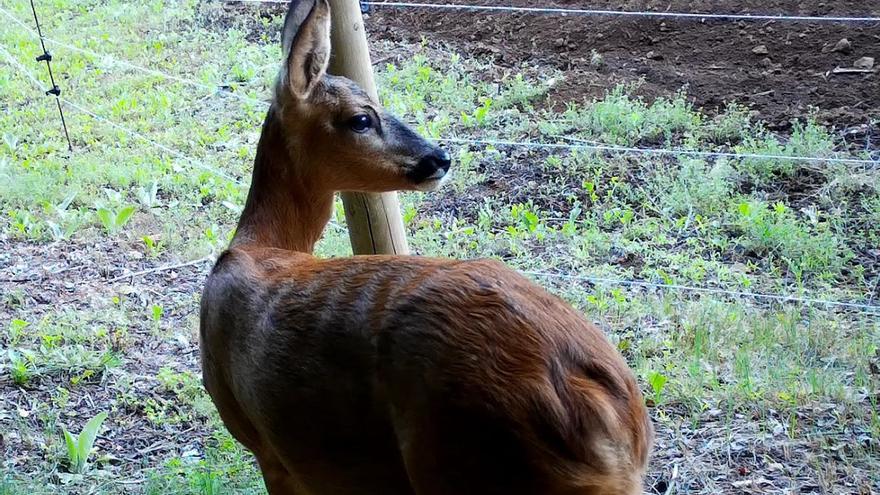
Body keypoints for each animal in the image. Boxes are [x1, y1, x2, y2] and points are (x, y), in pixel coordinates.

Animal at [201, 0, 652, 494]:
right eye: (362, 118)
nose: (440, 158)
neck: (260, 247)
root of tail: (609, 416)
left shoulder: (270, 451)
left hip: (458, 459)